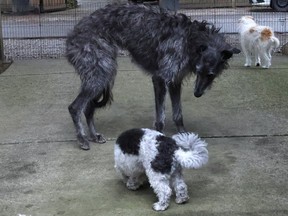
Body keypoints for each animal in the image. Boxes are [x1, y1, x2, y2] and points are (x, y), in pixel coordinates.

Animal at [66, 2, 241, 150]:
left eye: (211, 75)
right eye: (198, 71)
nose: (197, 94)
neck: (189, 39)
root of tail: (73, 34)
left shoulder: (175, 81)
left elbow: (178, 113)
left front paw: (183, 133)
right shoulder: (160, 78)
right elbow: (160, 117)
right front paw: (160, 136)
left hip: (103, 73)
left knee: (88, 108)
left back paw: (94, 135)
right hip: (101, 71)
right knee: (75, 107)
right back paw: (82, 139)